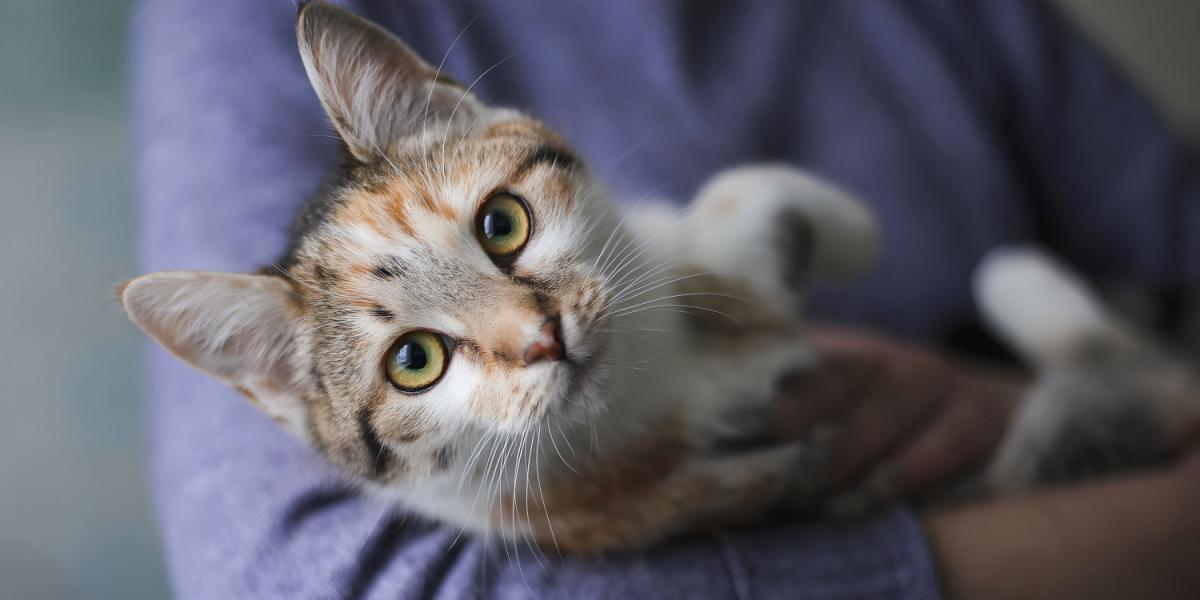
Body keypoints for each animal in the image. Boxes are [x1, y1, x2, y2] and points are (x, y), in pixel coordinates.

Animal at [117, 1, 1195, 552]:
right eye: (415, 361)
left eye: (501, 225)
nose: (541, 337)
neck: (654, 376)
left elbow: (727, 207)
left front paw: (849, 238)